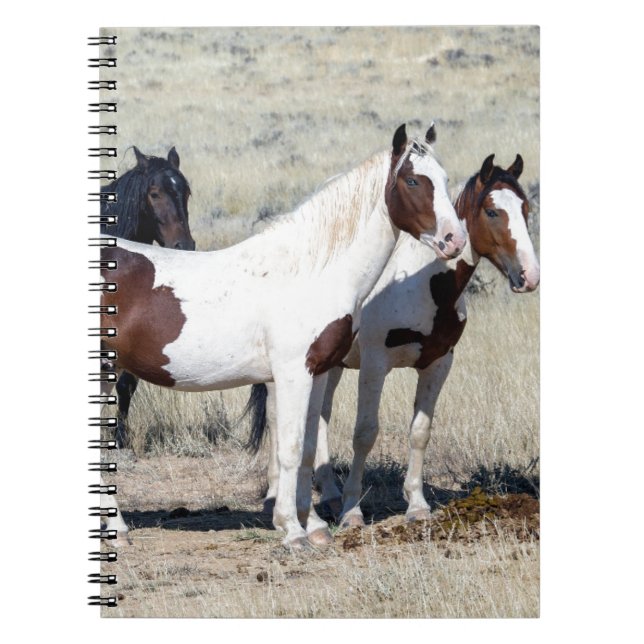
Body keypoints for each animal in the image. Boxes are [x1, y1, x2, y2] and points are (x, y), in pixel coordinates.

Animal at [252, 153, 540, 526]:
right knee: (277, 420)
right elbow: (365, 434)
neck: (424, 285)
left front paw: (416, 504)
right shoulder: (375, 365)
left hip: (331, 365)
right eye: (492, 211)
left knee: (320, 417)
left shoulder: (438, 363)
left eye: (525, 208)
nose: (529, 276)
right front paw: (352, 510)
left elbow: (420, 431)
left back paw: (328, 493)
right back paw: (276, 496)